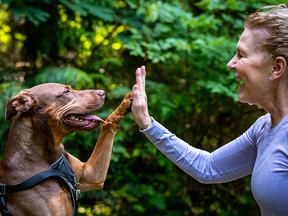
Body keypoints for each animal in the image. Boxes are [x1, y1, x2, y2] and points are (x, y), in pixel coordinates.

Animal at [0, 82, 132, 214]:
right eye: (66, 92)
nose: (102, 92)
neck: (52, 162)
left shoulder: (91, 174)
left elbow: (107, 125)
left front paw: (127, 101)